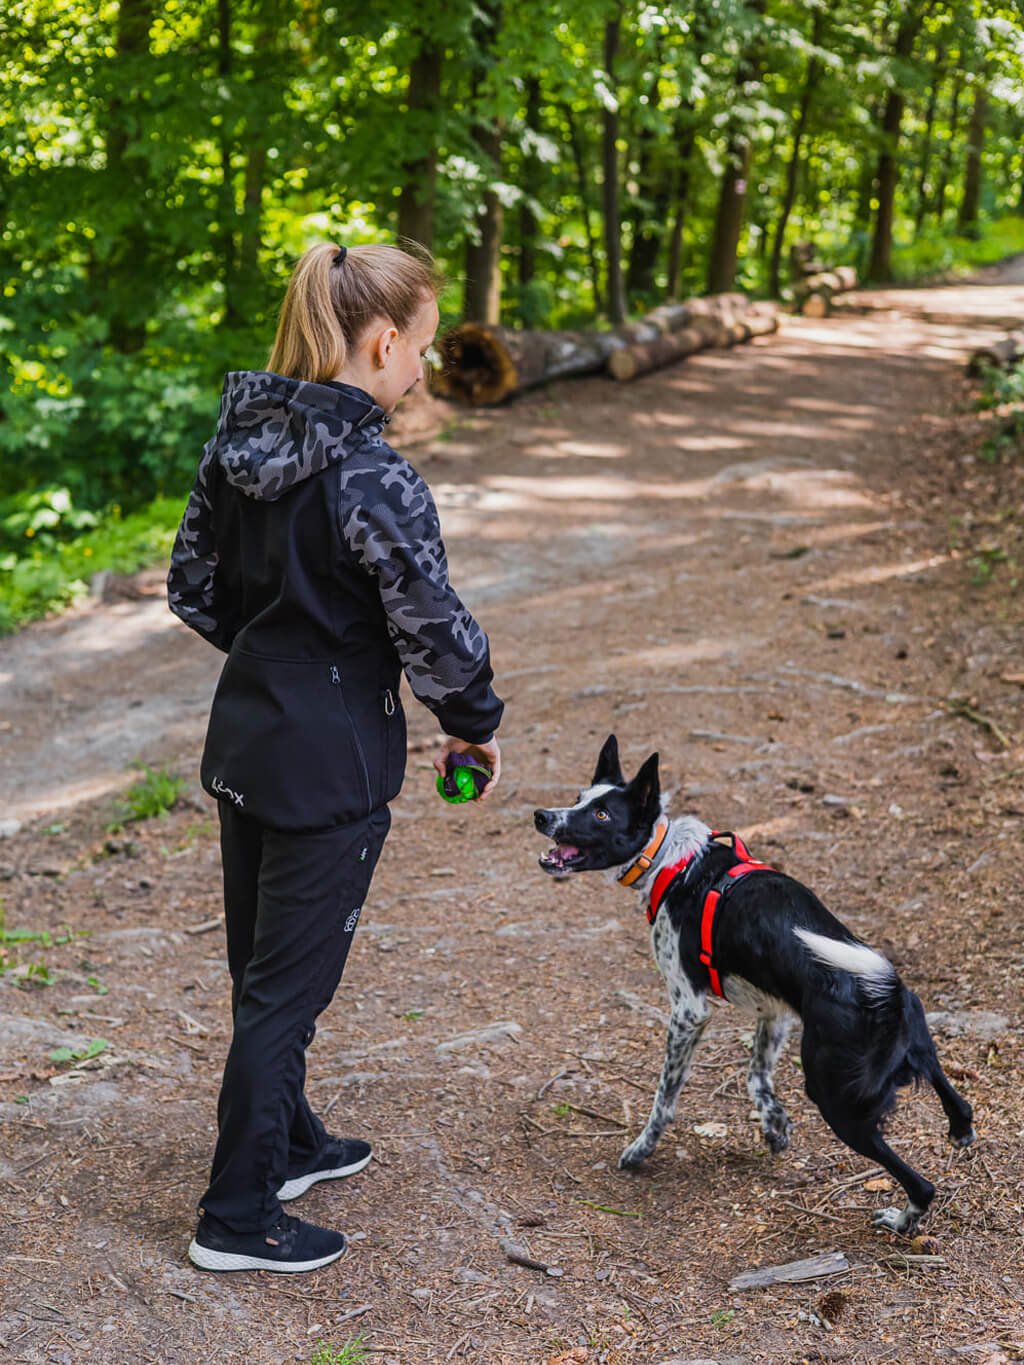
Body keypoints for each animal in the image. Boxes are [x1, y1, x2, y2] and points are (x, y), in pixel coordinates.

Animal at [532, 737, 972, 1239]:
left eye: (602, 814)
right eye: (580, 798)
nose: (541, 816)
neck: (671, 861)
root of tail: (886, 991)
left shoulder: (688, 1011)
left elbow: (665, 1098)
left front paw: (643, 1148)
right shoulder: (774, 1010)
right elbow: (756, 1076)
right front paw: (774, 1125)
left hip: (837, 1102)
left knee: (921, 1184)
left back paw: (902, 1219)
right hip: (913, 1053)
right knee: (954, 1096)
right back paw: (959, 1131)